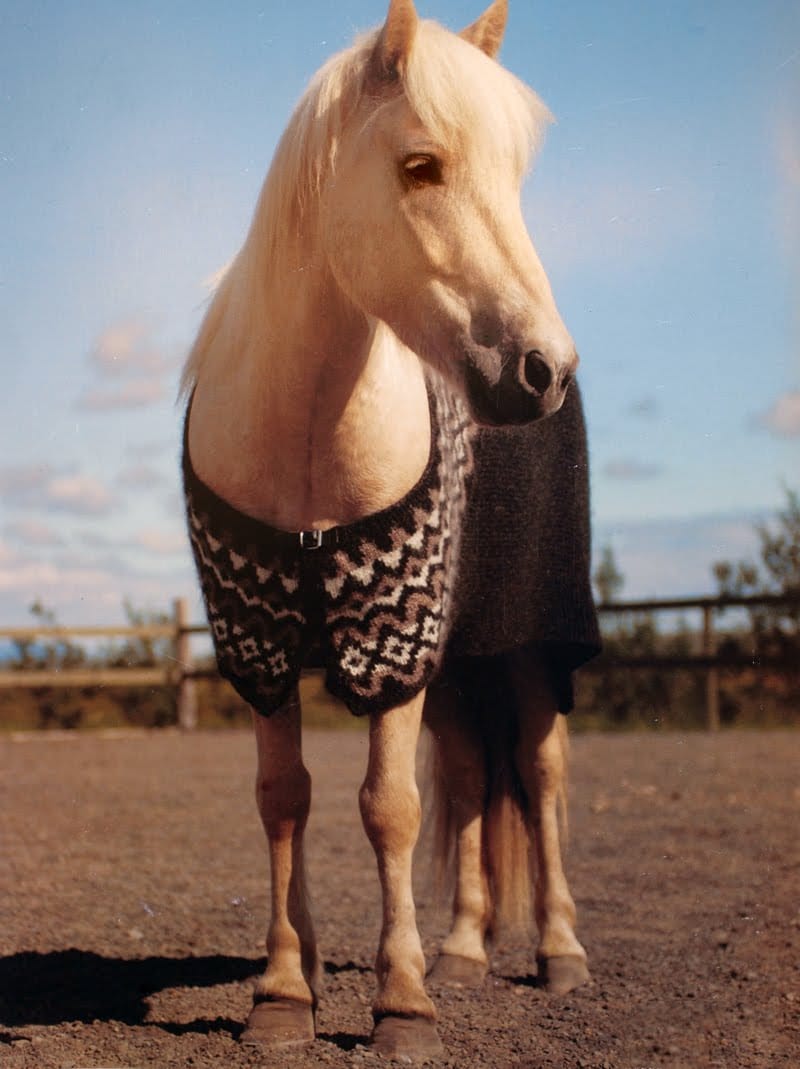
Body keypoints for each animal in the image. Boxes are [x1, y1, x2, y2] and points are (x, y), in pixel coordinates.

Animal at [181, 0, 598, 1059]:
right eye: (421, 166)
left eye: (514, 177)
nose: (543, 369)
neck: (308, 441)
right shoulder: (261, 648)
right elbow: (284, 799)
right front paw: (287, 989)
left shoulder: (393, 650)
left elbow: (391, 809)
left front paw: (401, 1002)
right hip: (456, 663)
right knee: (474, 771)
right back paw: (462, 950)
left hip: (522, 646)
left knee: (541, 775)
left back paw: (559, 953)